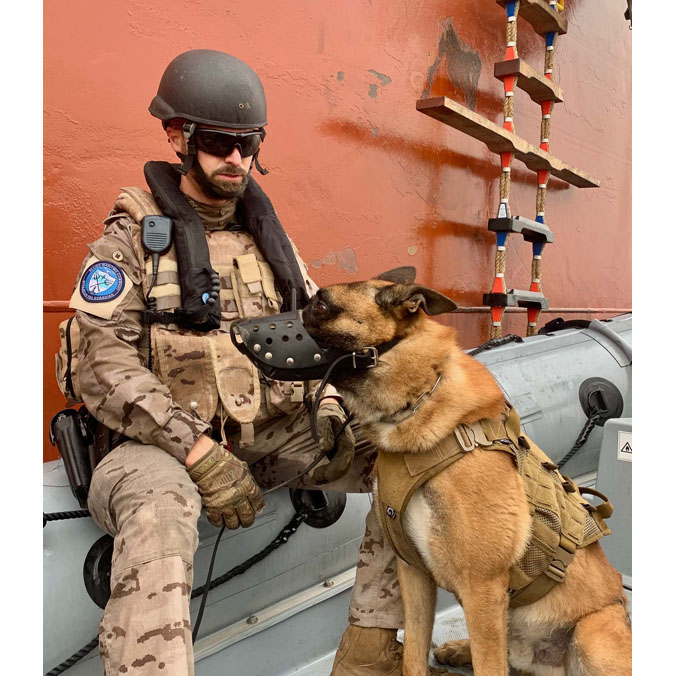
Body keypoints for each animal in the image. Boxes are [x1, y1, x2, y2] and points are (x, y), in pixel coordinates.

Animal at [304, 268, 632, 676]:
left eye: (321, 304)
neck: (419, 401)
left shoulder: (483, 588)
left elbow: (488, 666)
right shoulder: (414, 576)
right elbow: (413, 655)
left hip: (591, 634)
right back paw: (459, 650)